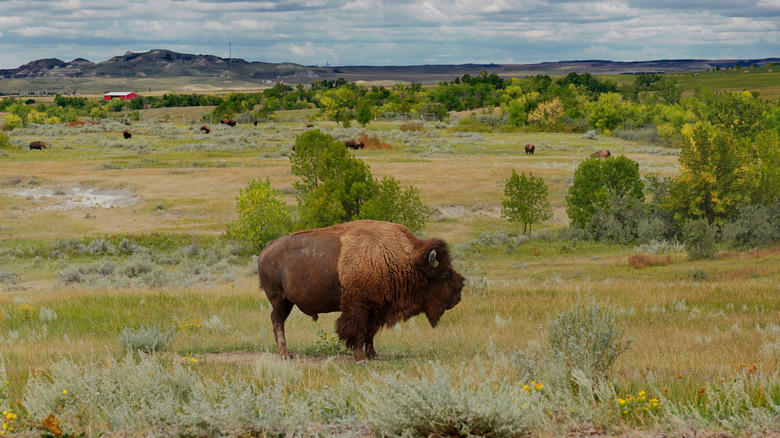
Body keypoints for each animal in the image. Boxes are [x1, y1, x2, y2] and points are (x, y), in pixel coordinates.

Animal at [258, 220, 465, 363]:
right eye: (445, 274)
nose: (458, 297)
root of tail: (265, 251)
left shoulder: (377, 309)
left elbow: (370, 334)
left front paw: (374, 356)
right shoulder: (357, 307)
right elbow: (357, 332)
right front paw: (360, 359)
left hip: (288, 301)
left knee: (276, 319)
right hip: (277, 297)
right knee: (278, 321)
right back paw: (285, 354)